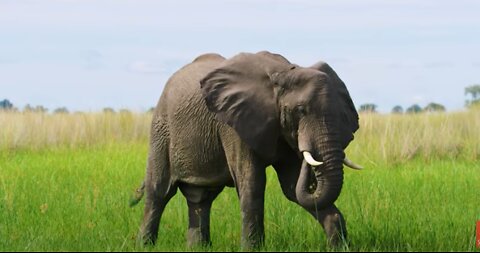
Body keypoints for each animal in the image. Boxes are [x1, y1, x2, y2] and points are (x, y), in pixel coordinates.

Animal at [129, 51, 362, 249]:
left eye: (340, 113)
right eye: (300, 110)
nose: (308, 153)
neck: (284, 72)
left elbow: (292, 187)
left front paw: (339, 247)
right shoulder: (234, 125)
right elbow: (252, 183)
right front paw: (252, 249)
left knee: (200, 198)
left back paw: (199, 248)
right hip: (162, 129)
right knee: (159, 192)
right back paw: (144, 246)